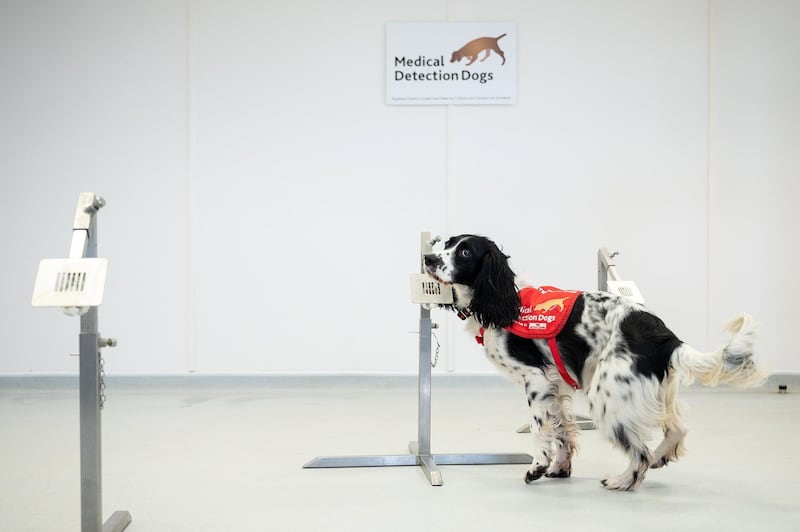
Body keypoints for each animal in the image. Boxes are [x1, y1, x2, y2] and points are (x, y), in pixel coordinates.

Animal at [422, 235, 764, 492]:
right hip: (658, 393)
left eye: (465, 251)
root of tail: (666, 337)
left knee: (640, 452)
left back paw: (623, 481)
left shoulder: (536, 379)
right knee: (676, 430)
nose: (427, 258)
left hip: (607, 396)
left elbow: (540, 428)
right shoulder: (557, 383)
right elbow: (562, 429)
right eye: (447, 243)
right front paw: (560, 467)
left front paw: (537, 466)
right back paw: (657, 459)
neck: (506, 300)